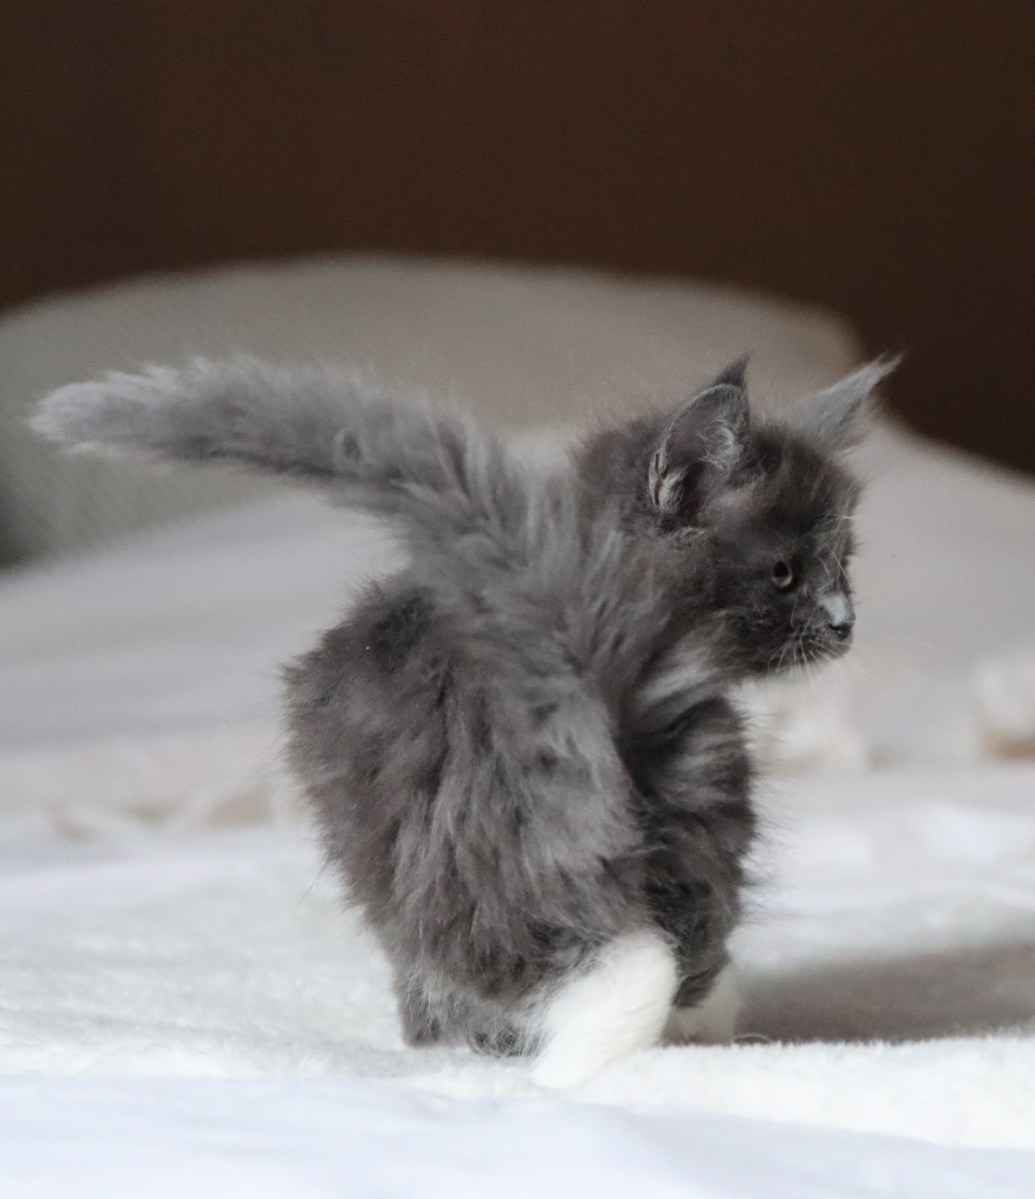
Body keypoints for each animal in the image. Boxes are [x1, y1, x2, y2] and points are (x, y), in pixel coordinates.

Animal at [34, 352, 893, 1086]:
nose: (846, 621)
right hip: (698, 798)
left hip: (462, 836)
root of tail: (557, 629)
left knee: (581, 958)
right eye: (784, 574)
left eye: (841, 565)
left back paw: (555, 1071)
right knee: (687, 931)